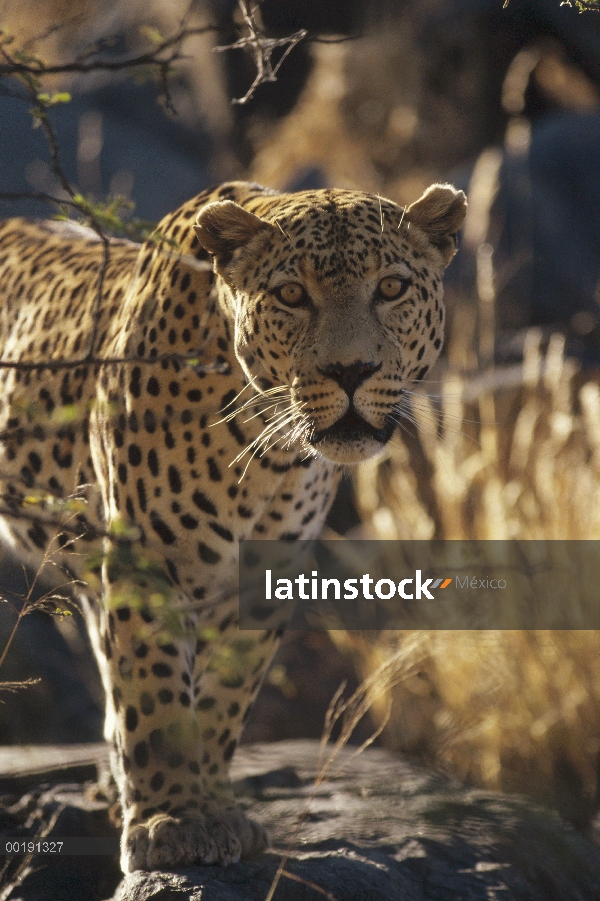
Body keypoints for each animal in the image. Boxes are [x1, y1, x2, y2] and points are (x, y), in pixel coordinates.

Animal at [0, 178, 466, 872]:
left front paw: (214, 807)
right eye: (291, 295)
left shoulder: (263, 578)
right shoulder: (144, 567)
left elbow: (222, 700)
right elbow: (157, 697)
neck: (268, 455)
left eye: (390, 288)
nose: (349, 371)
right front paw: (171, 821)